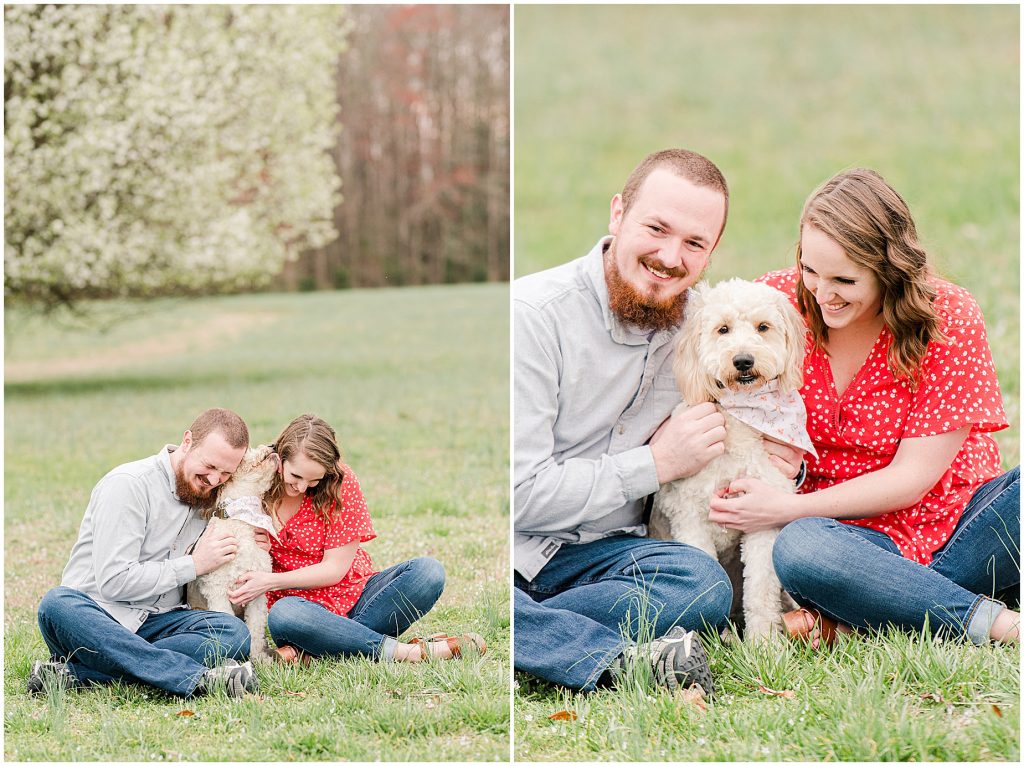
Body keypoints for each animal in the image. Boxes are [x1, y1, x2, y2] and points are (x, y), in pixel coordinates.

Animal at [187, 446, 280, 659]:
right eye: (247, 452)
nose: (272, 447)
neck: (241, 519)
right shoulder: (217, 590)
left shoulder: (256, 592)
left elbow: (255, 629)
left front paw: (259, 659)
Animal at [651, 280, 811, 639]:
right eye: (722, 329)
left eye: (763, 327)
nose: (743, 361)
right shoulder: (689, 517)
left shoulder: (761, 515)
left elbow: (761, 590)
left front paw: (764, 643)